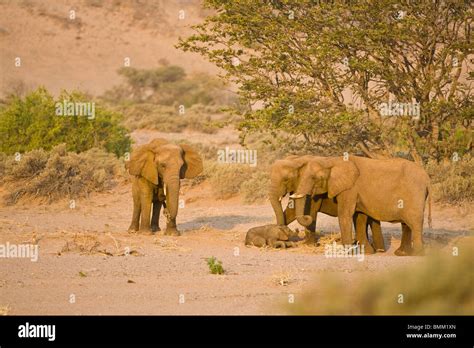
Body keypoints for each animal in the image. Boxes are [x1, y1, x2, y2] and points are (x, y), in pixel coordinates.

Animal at [290, 155, 432, 256]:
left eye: (314, 178)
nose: (308, 217)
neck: (333, 160)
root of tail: (427, 178)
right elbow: (360, 218)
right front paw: (367, 252)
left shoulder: (349, 189)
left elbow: (345, 215)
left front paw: (347, 253)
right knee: (406, 223)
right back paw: (402, 253)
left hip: (414, 193)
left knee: (414, 221)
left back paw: (417, 254)